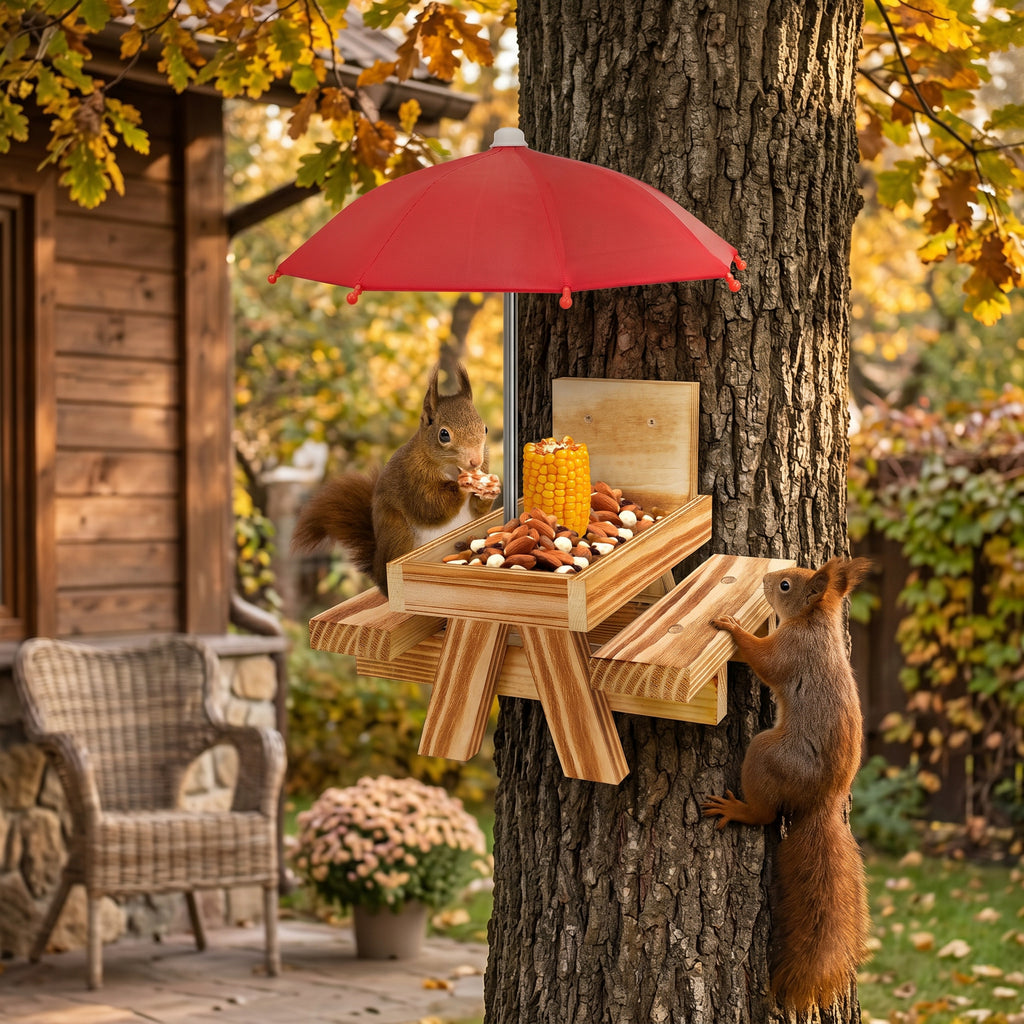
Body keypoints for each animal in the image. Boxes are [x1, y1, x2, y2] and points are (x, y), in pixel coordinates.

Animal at [291, 362, 499, 596]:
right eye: (444, 434)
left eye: (485, 428)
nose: (475, 461)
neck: (451, 469)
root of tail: (379, 573)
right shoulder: (412, 479)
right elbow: (430, 507)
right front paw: (462, 485)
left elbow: (478, 510)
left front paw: (491, 487)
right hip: (399, 534)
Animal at [702, 556, 872, 1013]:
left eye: (784, 586)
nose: (763, 577)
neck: (816, 622)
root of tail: (823, 802)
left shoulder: (792, 650)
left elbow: (764, 661)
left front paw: (731, 626)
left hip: (767, 755)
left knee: (764, 814)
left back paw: (736, 810)